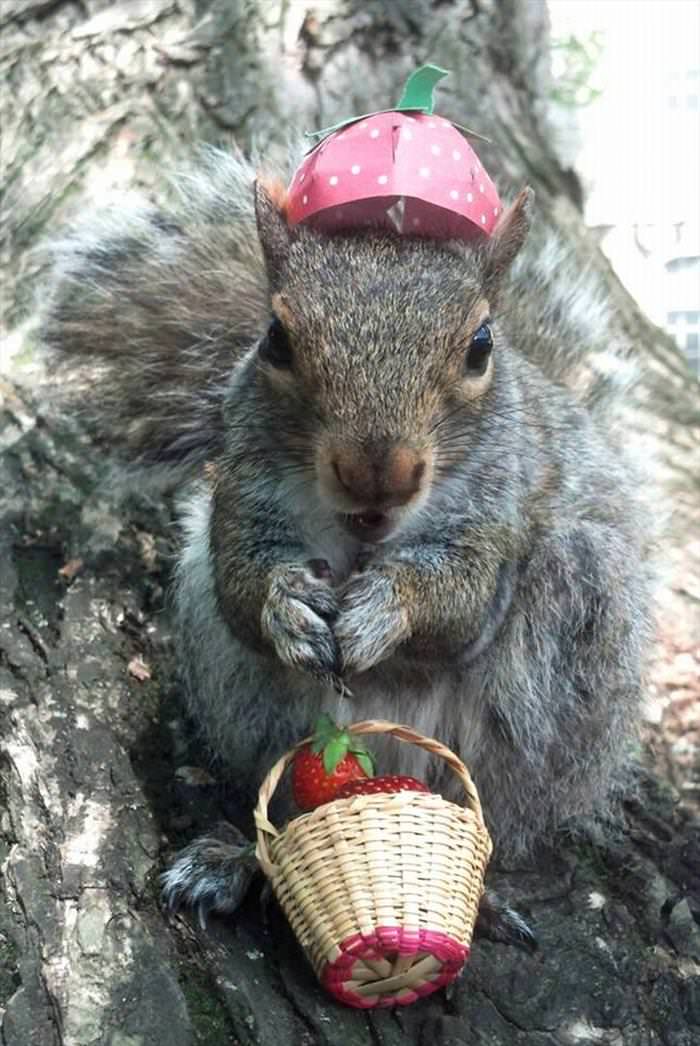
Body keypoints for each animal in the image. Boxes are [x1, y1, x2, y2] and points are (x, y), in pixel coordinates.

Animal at [43, 145, 652, 941]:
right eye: (275, 338)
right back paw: (232, 859)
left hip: (551, 679)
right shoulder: (243, 497)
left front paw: (385, 610)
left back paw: (483, 890)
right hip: (254, 708)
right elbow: (240, 585)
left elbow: (461, 602)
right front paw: (284, 608)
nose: (376, 472)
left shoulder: (498, 515)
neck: (367, 537)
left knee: (488, 808)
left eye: (481, 346)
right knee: (277, 797)